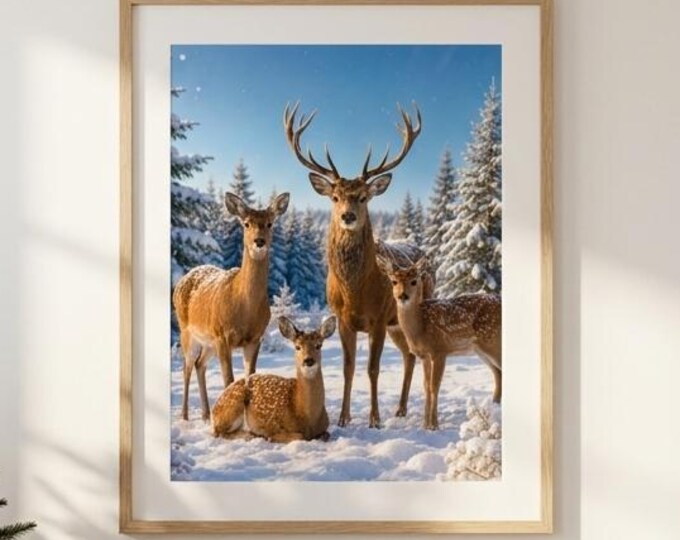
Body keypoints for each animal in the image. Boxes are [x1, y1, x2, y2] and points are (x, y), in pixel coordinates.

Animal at [172, 191, 290, 421]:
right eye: (246, 223)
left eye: (270, 223)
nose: (259, 241)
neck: (245, 308)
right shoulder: (222, 335)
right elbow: (229, 380)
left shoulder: (255, 338)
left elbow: (249, 378)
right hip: (187, 332)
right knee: (186, 367)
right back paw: (185, 416)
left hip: (208, 340)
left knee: (200, 365)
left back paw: (206, 414)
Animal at [283, 102, 435, 428]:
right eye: (335, 196)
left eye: (364, 197)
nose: (348, 215)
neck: (356, 290)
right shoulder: (343, 319)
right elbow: (348, 367)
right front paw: (343, 417)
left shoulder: (377, 318)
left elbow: (372, 369)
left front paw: (374, 419)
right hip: (396, 324)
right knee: (408, 356)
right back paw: (400, 409)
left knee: (418, 355)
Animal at [376, 255, 502, 430]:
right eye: (394, 281)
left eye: (414, 281)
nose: (403, 296)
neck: (420, 327)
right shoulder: (425, 356)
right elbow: (426, 386)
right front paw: (425, 425)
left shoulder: (440, 350)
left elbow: (434, 387)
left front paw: (434, 425)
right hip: (480, 349)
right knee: (498, 374)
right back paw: (494, 409)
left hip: (492, 341)